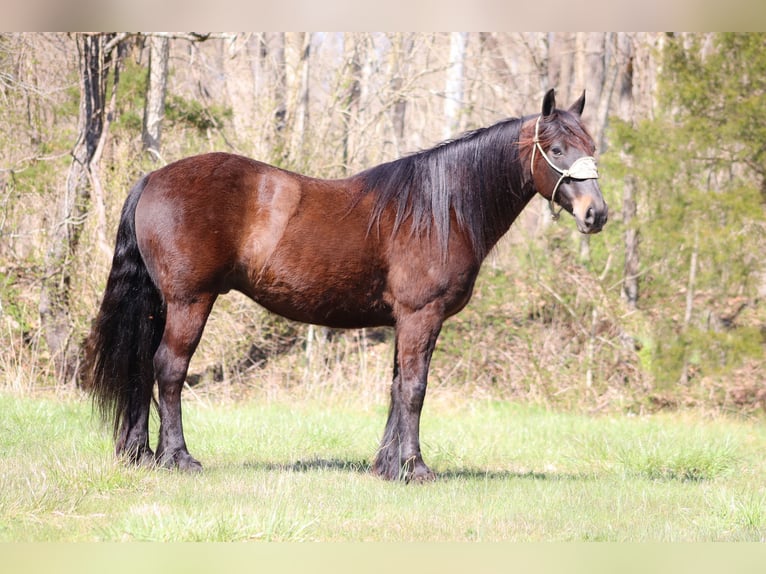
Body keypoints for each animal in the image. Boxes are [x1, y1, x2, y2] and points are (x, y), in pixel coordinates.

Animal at [84, 89, 608, 482]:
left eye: (592, 147)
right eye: (556, 150)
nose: (596, 214)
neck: (441, 210)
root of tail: (154, 177)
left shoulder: (404, 321)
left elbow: (396, 387)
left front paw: (387, 466)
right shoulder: (422, 315)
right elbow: (415, 389)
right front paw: (415, 468)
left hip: (159, 305)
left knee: (140, 367)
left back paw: (141, 454)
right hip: (191, 301)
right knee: (169, 369)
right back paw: (179, 458)